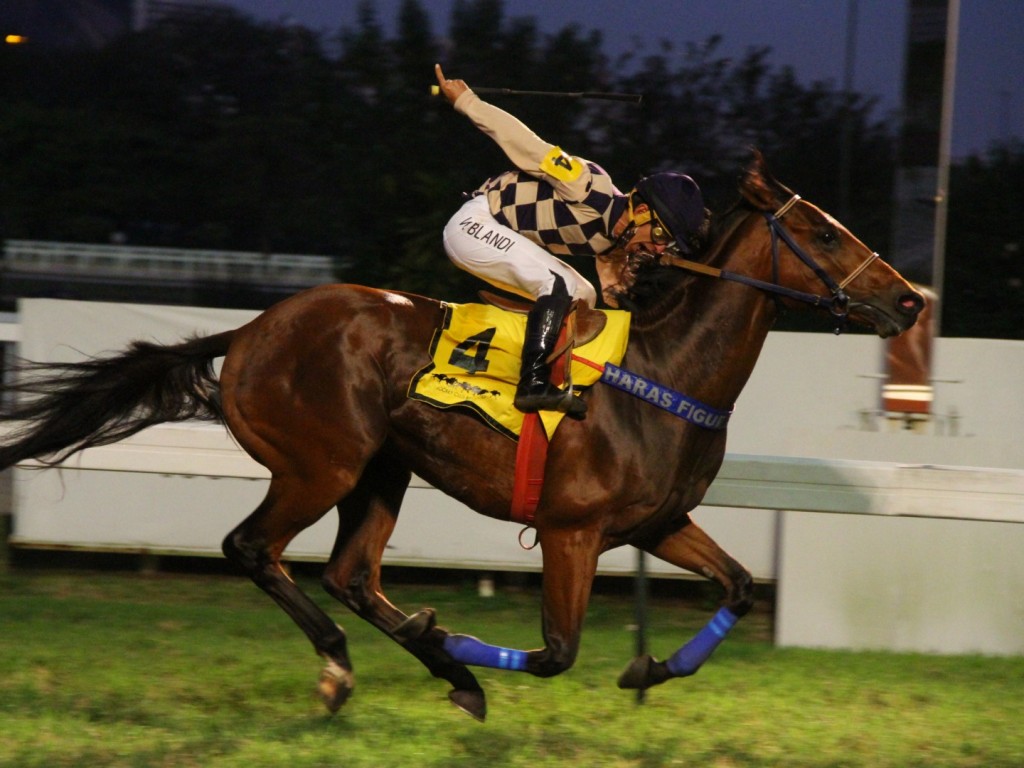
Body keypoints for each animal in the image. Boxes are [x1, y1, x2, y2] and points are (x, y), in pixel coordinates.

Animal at [0, 154, 925, 720]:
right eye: (823, 232)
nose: (910, 300)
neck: (668, 371)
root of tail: (253, 329)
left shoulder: (658, 522)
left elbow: (735, 587)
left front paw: (647, 669)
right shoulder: (571, 530)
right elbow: (555, 653)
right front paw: (451, 640)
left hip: (381, 472)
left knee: (351, 576)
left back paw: (436, 666)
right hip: (320, 466)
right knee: (253, 549)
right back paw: (353, 662)